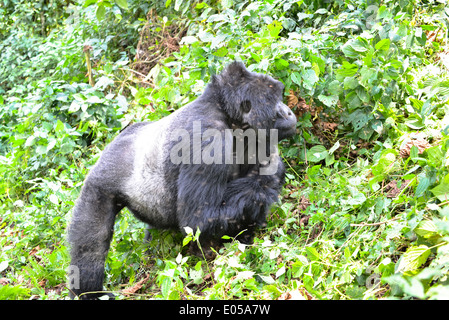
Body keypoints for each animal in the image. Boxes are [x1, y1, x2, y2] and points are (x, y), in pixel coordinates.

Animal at [66, 61, 296, 298]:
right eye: (275, 101)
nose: (288, 111)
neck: (224, 111)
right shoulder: (210, 144)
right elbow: (199, 219)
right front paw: (269, 177)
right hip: (98, 185)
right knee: (92, 242)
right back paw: (88, 291)